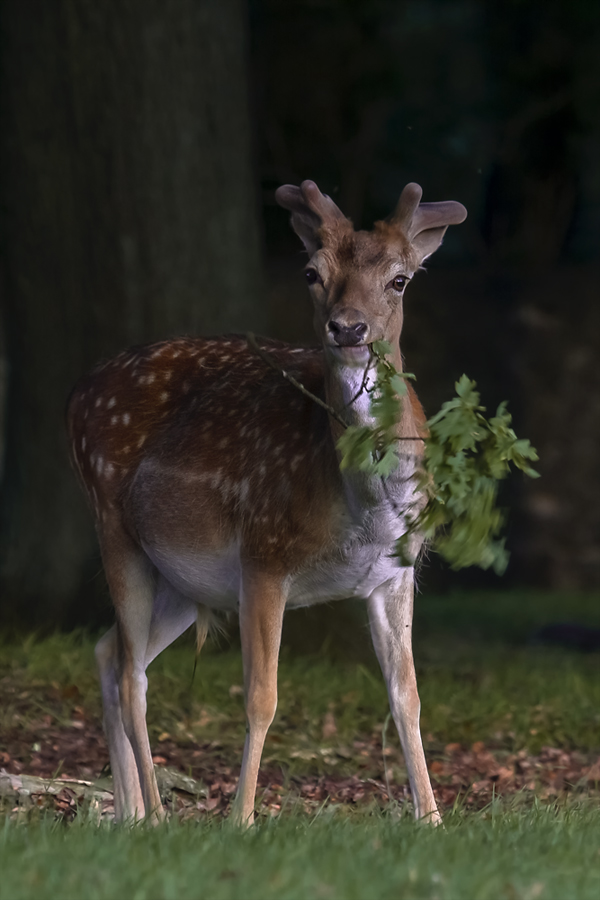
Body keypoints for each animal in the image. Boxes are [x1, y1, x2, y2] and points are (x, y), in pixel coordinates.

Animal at [68, 179, 466, 828]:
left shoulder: (396, 571)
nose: (348, 328)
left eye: (400, 279)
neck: (363, 512)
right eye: (311, 272)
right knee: (131, 677)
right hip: (112, 525)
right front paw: (242, 820)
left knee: (110, 652)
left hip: (184, 578)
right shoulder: (263, 552)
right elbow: (262, 697)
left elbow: (407, 696)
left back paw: (129, 815)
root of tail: (75, 393)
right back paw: (157, 815)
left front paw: (431, 820)